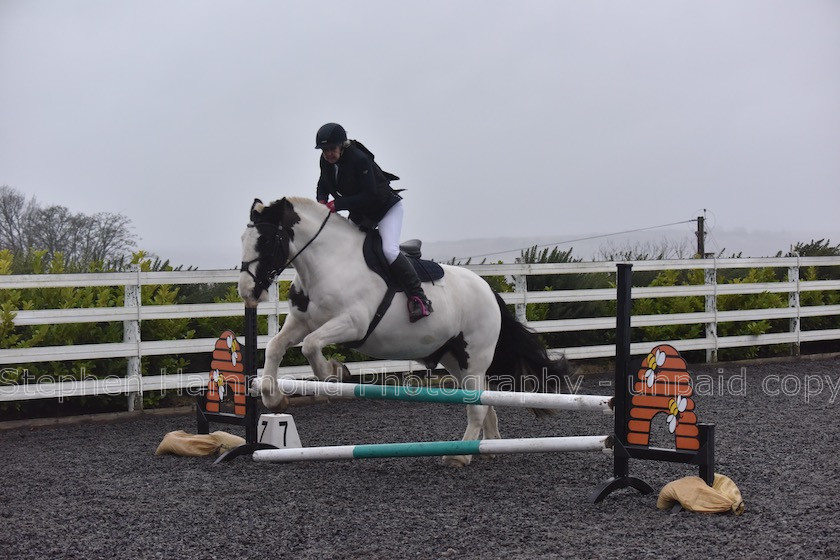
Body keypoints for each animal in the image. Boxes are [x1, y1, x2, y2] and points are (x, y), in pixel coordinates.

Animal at [236, 198, 568, 468]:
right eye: (243, 238)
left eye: (266, 241)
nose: (247, 292)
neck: (329, 262)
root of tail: (489, 291)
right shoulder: (300, 321)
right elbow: (277, 346)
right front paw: (274, 399)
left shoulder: (353, 323)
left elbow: (310, 345)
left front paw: (333, 373)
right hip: (454, 359)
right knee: (482, 400)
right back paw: (490, 446)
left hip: (474, 356)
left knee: (476, 405)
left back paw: (460, 455)